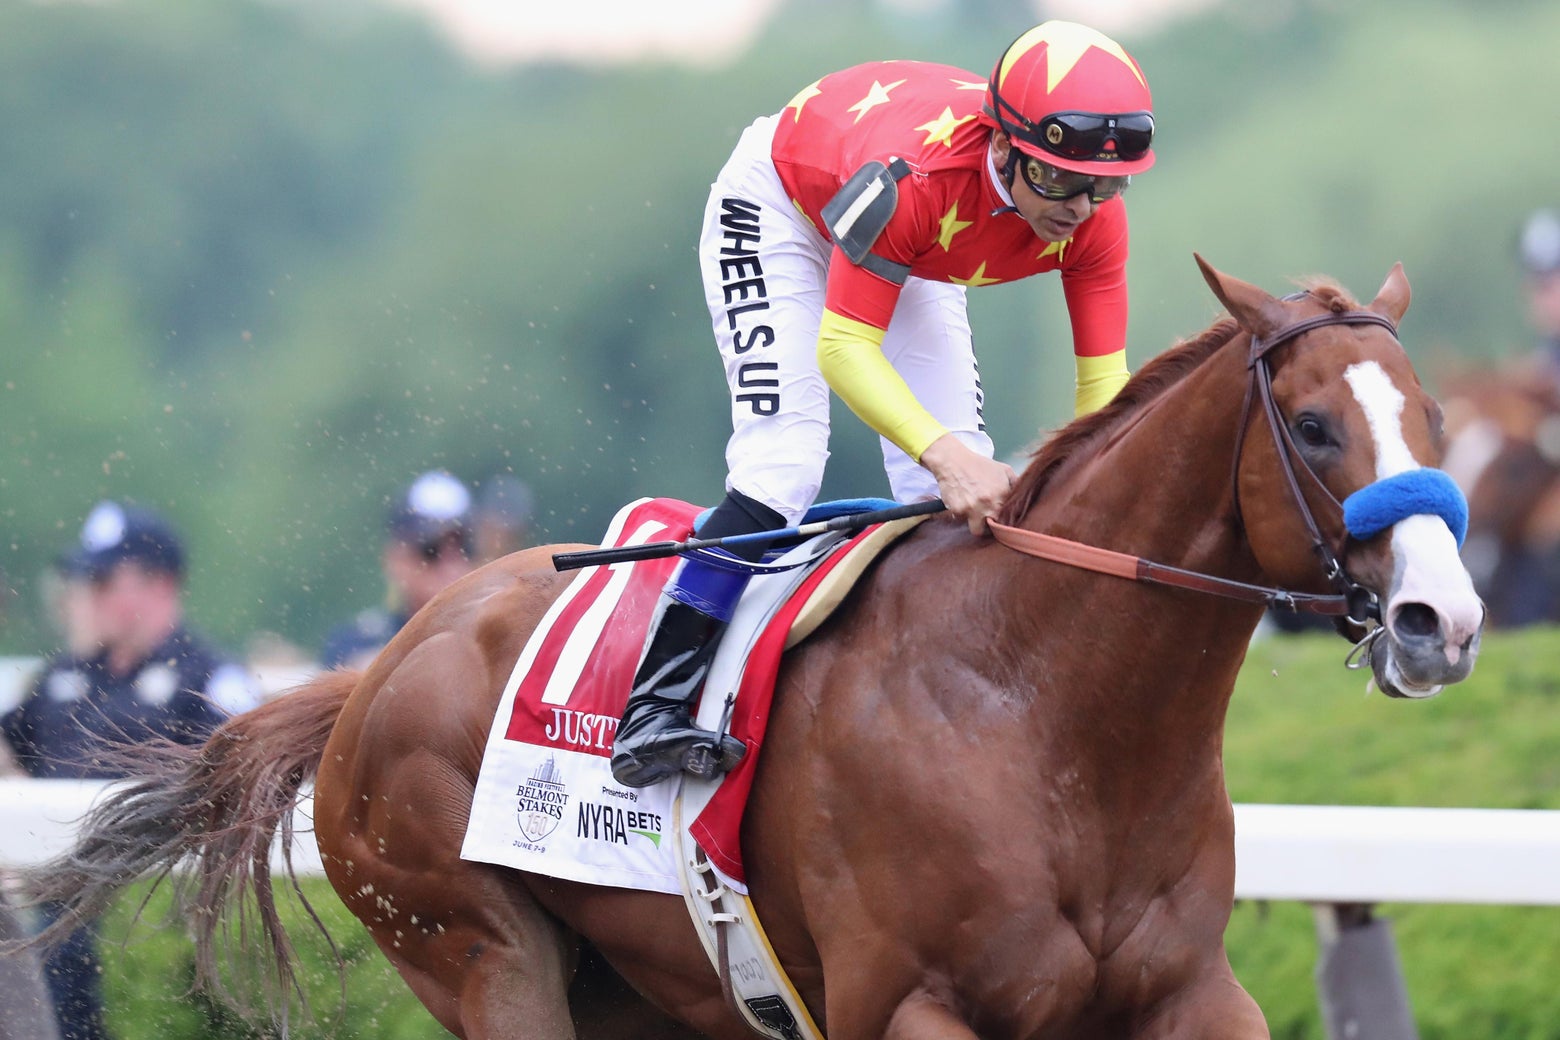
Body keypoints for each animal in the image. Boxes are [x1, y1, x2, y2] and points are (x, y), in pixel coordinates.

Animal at [15, 260, 1485, 1040]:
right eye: (1312, 425)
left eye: (1431, 414)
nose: (1444, 621)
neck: (1042, 713)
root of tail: (373, 672)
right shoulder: (909, 1007)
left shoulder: (1188, 992)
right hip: (475, 948)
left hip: (642, 994)